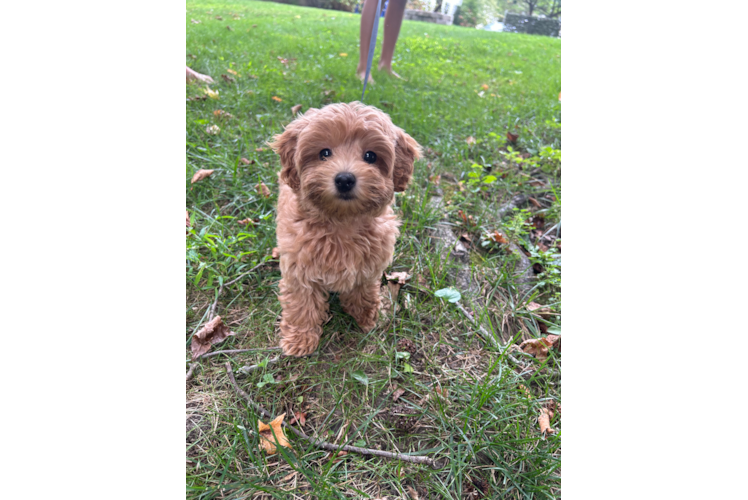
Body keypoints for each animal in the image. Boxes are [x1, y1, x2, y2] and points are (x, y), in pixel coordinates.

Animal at [268, 101, 420, 356]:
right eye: (324, 153)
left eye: (370, 156)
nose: (345, 179)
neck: (342, 222)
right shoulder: (299, 268)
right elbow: (302, 303)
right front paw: (300, 338)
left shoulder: (369, 266)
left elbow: (364, 292)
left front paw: (368, 317)